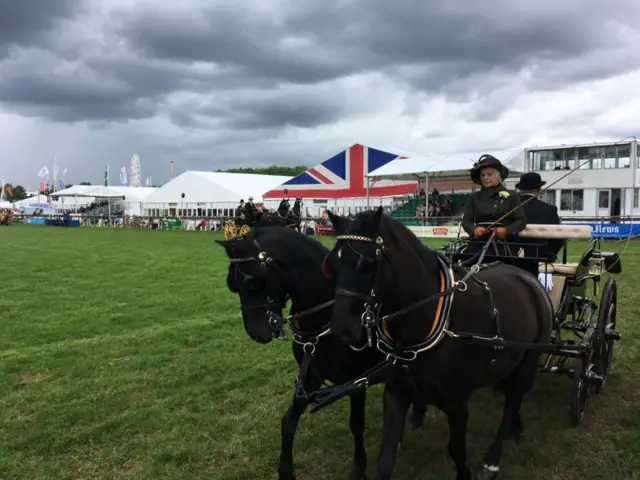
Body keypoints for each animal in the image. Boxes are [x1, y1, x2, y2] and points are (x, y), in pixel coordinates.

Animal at [214, 228, 424, 480]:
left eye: (254, 283)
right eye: (232, 283)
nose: (256, 333)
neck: (326, 314)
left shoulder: (356, 381)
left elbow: (356, 424)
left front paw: (358, 468)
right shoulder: (310, 376)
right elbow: (288, 421)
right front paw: (285, 471)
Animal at [324, 209, 556, 480]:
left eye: (367, 264)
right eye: (332, 265)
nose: (341, 330)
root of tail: (529, 277)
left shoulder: (457, 403)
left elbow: (457, 451)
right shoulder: (396, 394)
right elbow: (385, 459)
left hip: (528, 361)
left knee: (513, 401)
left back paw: (493, 459)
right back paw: (514, 430)